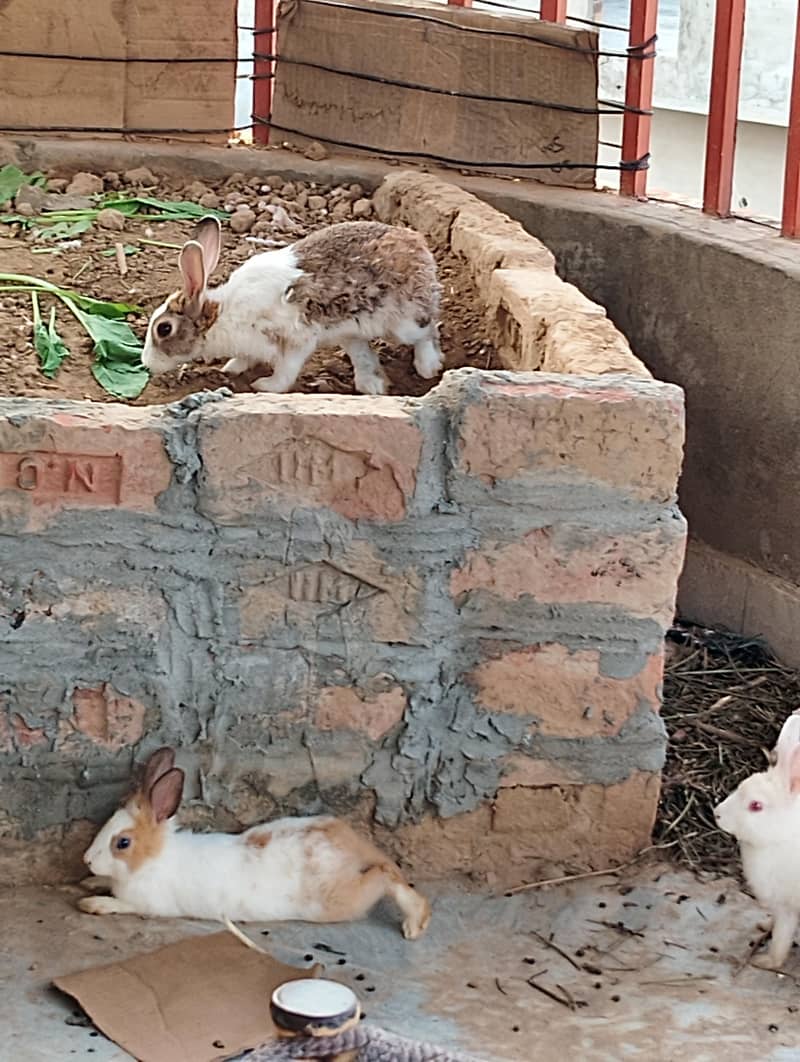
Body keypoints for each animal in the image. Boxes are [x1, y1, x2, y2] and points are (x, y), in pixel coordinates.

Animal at [78, 747, 431, 940]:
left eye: (123, 842)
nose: (87, 860)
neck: (153, 859)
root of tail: (348, 843)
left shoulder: (149, 904)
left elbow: (122, 905)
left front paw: (93, 904)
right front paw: (88, 881)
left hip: (339, 900)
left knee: (387, 878)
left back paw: (416, 922)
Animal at [141, 216, 444, 396]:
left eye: (164, 329)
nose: (147, 364)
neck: (220, 316)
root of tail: (417, 242)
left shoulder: (296, 339)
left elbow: (286, 370)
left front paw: (263, 386)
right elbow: (245, 358)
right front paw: (231, 369)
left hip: (404, 322)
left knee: (427, 330)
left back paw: (428, 366)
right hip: (350, 330)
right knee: (362, 352)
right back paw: (372, 384)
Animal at [713, 709, 800, 969]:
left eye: (756, 806)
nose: (717, 814)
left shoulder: (787, 907)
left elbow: (781, 938)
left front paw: (767, 961)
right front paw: (764, 925)